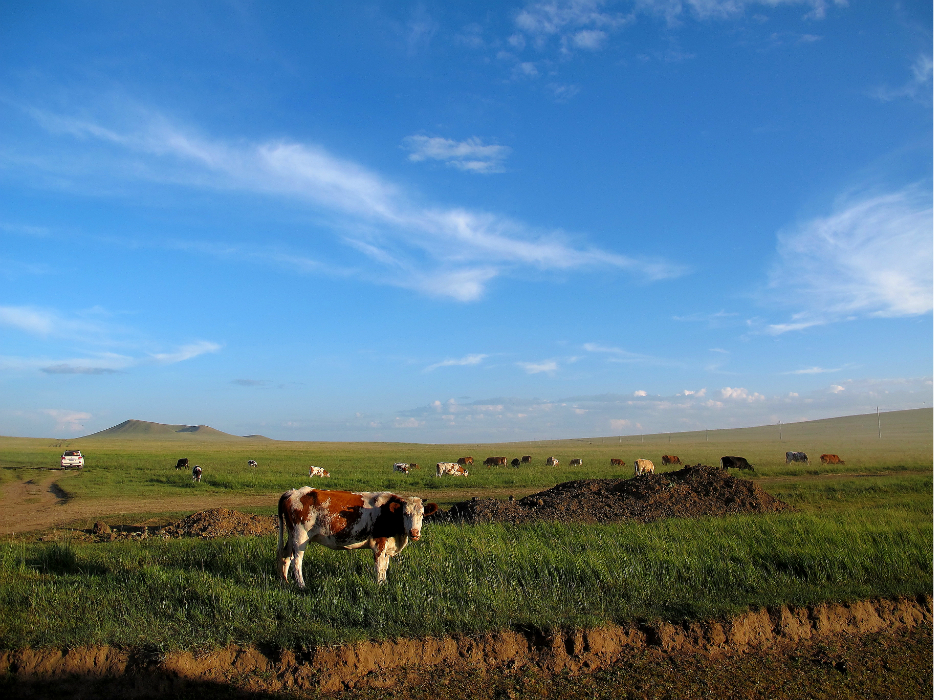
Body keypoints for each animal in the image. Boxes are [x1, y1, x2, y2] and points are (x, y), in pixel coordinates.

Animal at [276, 490, 440, 588]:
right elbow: (379, 567)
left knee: (285, 556)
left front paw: (384, 583)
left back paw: (285, 581)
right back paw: (302, 585)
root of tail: (294, 492)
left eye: (422, 514)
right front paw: (379, 586)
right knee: (297, 560)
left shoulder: (388, 547)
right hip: (300, 537)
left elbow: (385, 567)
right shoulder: (379, 545)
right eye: (405, 513)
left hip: (292, 536)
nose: (414, 532)